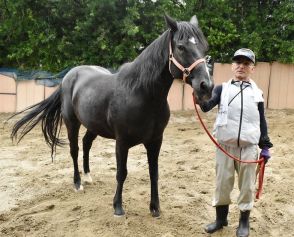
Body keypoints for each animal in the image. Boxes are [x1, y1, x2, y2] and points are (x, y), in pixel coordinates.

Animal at [10, 15, 214, 217]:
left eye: (204, 47)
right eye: (181, 47)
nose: (206, 86)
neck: (141, 93)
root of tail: (69, 76)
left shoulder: (156, 141)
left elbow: (154, 173)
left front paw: (155, 208)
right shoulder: (121, 142)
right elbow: (121, 173)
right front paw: (118, 207)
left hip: (93, 125)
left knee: (86, 144)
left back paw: (88, 176)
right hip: (71, 122)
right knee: (74, 149)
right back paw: (78, 183)